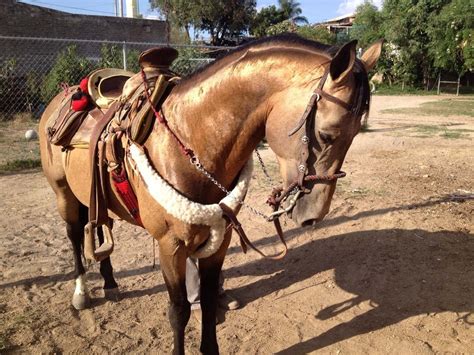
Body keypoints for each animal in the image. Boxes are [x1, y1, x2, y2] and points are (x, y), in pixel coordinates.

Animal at [39, 34, 384, 355]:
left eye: (355, 135)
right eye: (326, 135)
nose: (314, 215)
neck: (189, 138)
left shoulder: (222, 236)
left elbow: (205, 302)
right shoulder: (170, 246)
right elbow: (178, 311)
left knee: (101, 224)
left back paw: (110, 282)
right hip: (63, 194)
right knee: (75, 235)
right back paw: (82, 292)